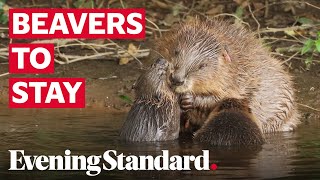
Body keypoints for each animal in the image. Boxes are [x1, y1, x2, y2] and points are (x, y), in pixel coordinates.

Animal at [155, 18, 300, 134]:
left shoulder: (237, 80)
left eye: (202, 65)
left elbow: (222, 98)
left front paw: (189, 99)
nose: (176, 79)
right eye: (176, 51)